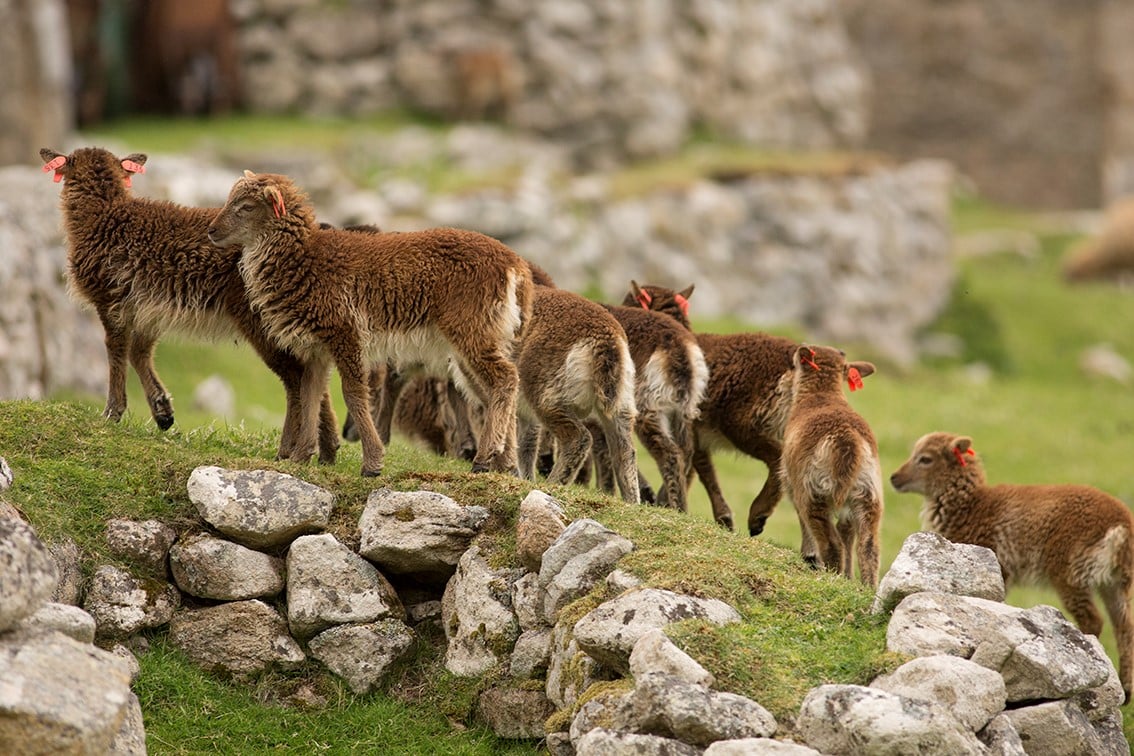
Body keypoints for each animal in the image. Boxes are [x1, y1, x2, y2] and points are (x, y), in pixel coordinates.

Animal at [41, 147, 340, 464]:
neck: (102, 214)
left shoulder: (110, 299)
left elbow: (117, 351)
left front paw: (112, 413)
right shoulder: (148, 308)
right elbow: (139, 352)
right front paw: (163, 412)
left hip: (261, 322)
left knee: (296, 376)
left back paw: (294, 450)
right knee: (313, 376)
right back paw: (327, 451)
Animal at [208, 174, 535, 476]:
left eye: (246, 206)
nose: (212, 231)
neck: (306, 260)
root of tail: (516, 266)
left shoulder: (345, 333)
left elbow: (353, 394)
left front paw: (372, 464)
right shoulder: (316, 349)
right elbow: (311, 397)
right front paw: (300, 458)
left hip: (472, 330)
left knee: (505, 378)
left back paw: (484, 458)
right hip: (483, 338)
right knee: (495, 389)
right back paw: (504, 464)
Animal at [780, 342, 884, 584]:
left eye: (793, 365)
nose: (782, 381)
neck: (821, 395)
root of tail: (847, 440)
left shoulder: (792, 485)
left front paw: (809, 556)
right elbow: (848, 533)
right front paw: (848, 577)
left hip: (814, 491)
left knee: (830, 542)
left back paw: (830, 575)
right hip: (868, 493)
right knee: (868, 546)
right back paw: (868, 586)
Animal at [893, 428, 1134, 702]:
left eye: (925, 459)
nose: (894, 478)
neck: (971, 506)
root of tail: (1121, 525)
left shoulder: (999, 565)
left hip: (1070, 571)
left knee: (1094, 620)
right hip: (1115, 582)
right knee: (1124, 627)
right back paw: (1127, 690)